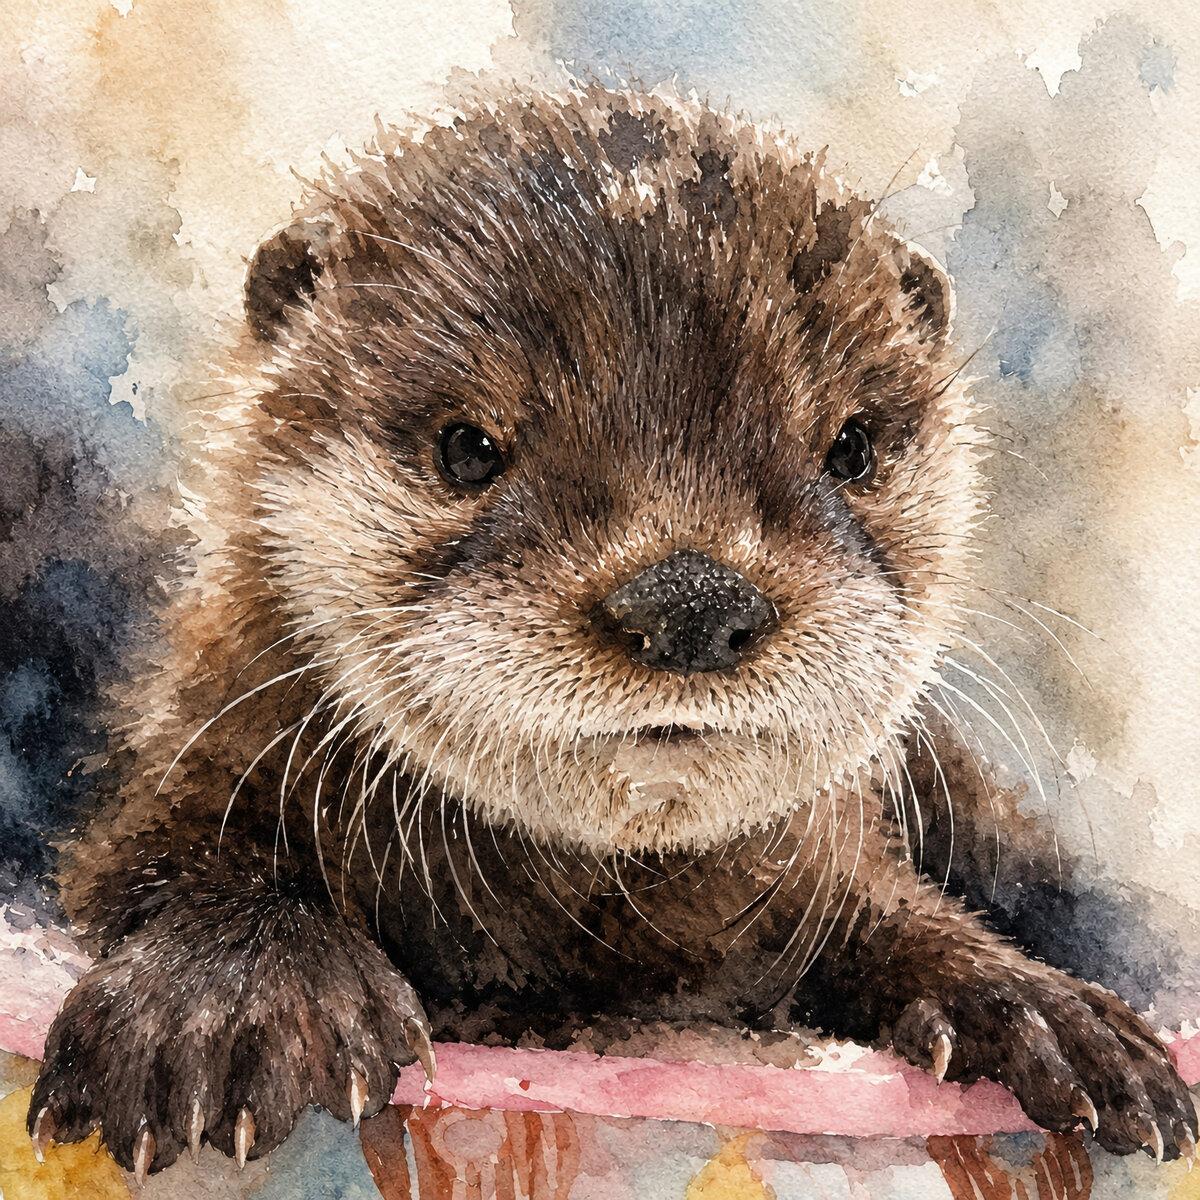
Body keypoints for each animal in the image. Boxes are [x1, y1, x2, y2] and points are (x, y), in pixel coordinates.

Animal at [28, 82, 1195, 1178]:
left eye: (851, 446)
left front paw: (1042, 1010)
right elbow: (169, 865)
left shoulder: (823, 863)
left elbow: (898, 916)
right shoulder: (195, 750)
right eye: (467, 445)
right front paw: (225, 998)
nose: (692, 599)